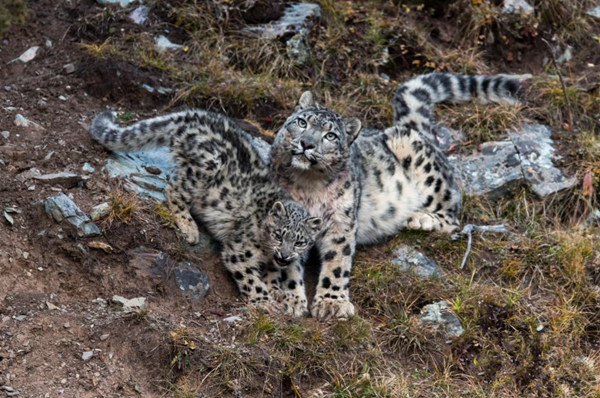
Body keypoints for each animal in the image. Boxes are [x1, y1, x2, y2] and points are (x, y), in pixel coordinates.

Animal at [88, 109, 324, 314]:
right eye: (278, 234)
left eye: (300, 242)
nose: (285, 254)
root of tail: (192, 115)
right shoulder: (239, 250)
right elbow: (251, 279)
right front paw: (265, 301)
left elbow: (273, 275)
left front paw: (277, 292)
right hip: (206, 165)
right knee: (173, 188)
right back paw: (189, 227)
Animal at [270, 72, 528, 320]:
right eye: (302, 122)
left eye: (331, 136)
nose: (307, 143)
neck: (309, 185)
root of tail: (415, 130)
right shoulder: (288, 221)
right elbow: (288, 262)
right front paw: (290, 299)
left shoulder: (341, 222)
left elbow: (337, 263)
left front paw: (332, 304)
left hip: (419, 161)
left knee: (452, 216)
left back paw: (420, 219)